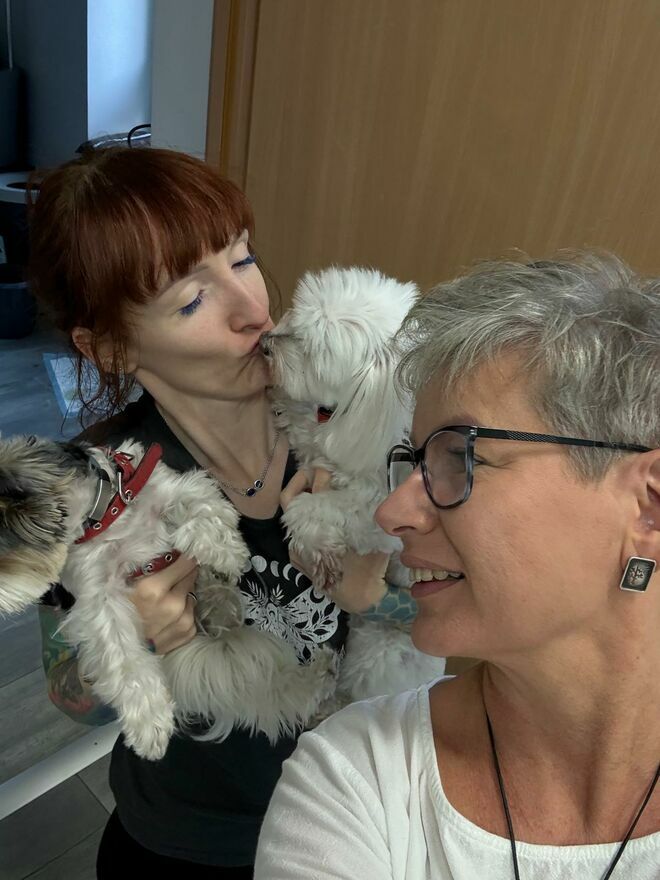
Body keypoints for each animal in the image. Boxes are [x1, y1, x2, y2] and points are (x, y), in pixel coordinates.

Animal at [0, 436, 337, 760]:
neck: (107, 516)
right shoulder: (97, 595)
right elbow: (122, 658)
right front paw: (149, 722)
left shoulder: (172, 487)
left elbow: (201, 506)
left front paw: (225, 553)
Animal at [263, 266, 446, 704]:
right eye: (295, 320)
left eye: (313, 350)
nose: (264, 343)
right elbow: (307, 434)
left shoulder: (385, 518)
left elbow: (316, 508)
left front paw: (316, 545)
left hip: (376, 652)